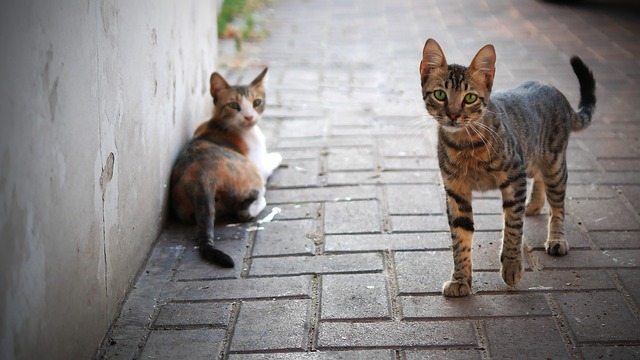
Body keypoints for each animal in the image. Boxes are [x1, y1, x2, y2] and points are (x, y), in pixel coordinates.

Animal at [171, 69, 282, 268]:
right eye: (233, 105)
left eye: (257, 102)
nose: (249, 117)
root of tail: (202, 177)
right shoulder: (260, 165)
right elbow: (270, 162)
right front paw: (277, 156)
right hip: (254, 177)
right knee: (244, 211)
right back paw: (260, 201)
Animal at [420, 38, 596, 298]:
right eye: (440, 94)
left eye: (470, 98)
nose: (452, 114)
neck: (466, 145)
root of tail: (556, 91)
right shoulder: (455, 190)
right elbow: (460, 238)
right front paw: (460, 279)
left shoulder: (515, 177)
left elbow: (513, 226)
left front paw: (512, 266)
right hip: (531, 159)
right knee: (539, 179)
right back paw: (533, 204)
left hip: (554, 164)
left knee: (557, 204)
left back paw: (556, 238)